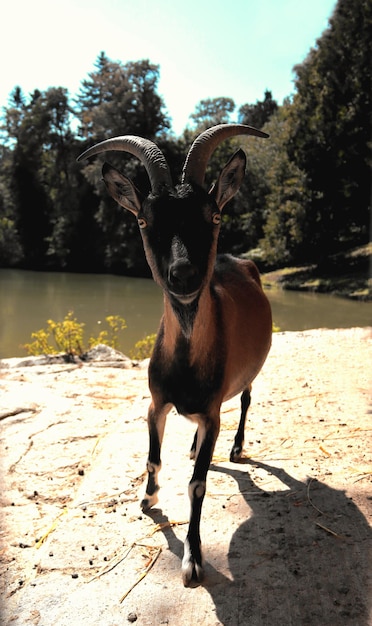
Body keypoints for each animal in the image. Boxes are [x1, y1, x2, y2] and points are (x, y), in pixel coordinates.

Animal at [77, 123, 272, 584]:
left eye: (214, 216)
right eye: (144, 219)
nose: (182, 274)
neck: (185, 366)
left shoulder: (213, 410)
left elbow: (197, 484)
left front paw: (193, 559)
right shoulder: (156, 402)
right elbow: (152, 459)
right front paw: (147, 499)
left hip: (249, 375)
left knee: (247, 399)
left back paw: (235, 448)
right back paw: (194, 447)